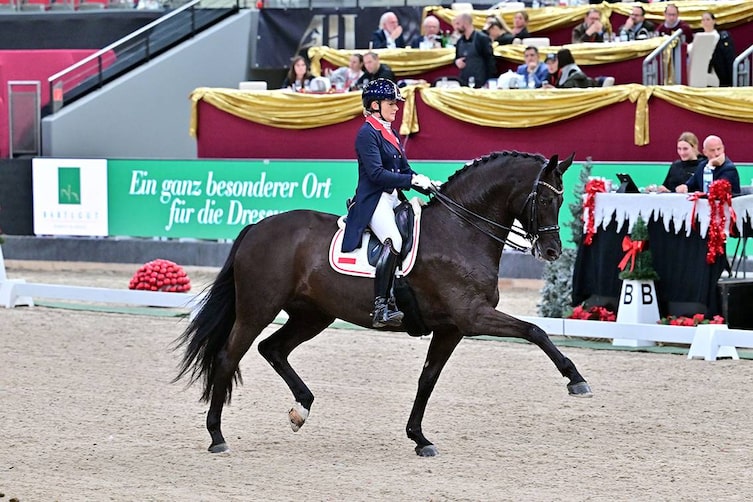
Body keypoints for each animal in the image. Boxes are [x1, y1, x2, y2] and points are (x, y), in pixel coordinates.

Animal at [174, 150, 592, 457]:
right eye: (545, 197)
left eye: (561, 198)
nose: (552, 251)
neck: (460, 231)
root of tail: (258, 227)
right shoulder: (472, 317)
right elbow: (534, 330)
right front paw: (576, 379)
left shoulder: (451, 328)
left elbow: (427, 379)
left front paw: (419, 438)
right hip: (258, 309)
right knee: (229, 357)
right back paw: (217, 437)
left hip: (313, 315)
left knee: (272, 348)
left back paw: (301, 409)